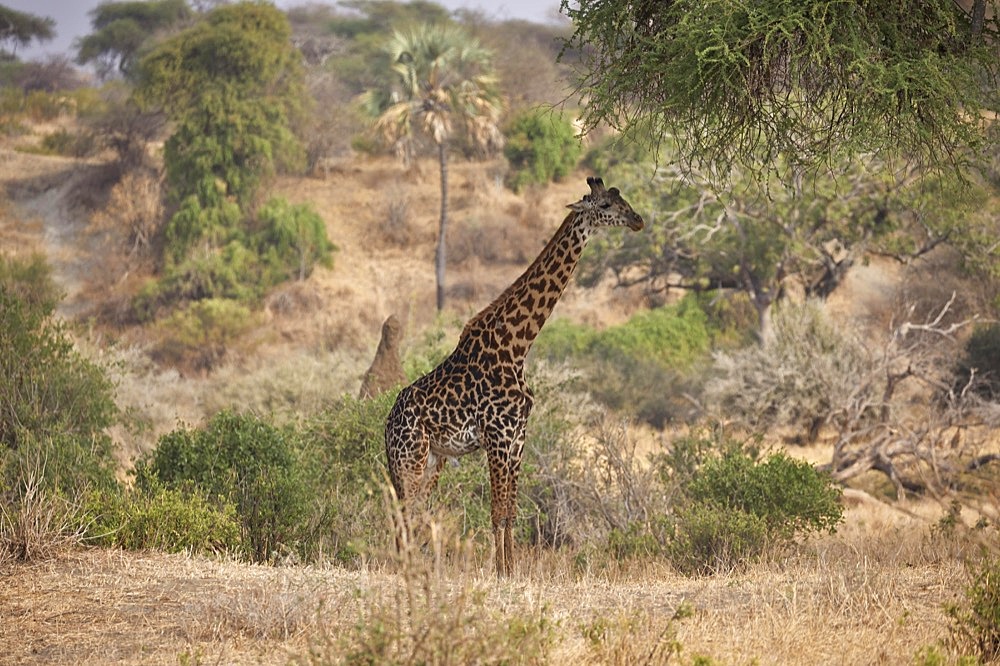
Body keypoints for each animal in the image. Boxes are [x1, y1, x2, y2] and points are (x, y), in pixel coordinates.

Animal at [382, 176, 640, 576]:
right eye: (606, 206)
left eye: (621, 198)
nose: (638, 220)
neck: (518, 345)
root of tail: (387, 425)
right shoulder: (498, 438)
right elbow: (497, 512)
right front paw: (501, 572)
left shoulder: (518, 438)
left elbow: (510, 512)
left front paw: (512, 569)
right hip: (411, 457)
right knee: (406, 512)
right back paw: (405, 568)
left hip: (430, 461)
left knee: (414, 512)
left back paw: (412, 565)